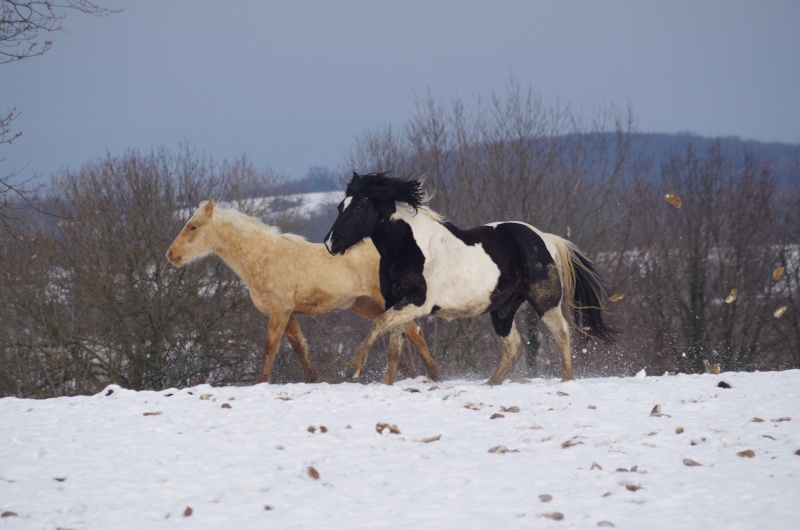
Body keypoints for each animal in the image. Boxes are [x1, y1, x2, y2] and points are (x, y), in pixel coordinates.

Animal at [166, 198, 440, 384]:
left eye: (193, 227)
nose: (171, 255)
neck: (262, 257)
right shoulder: (287, 313)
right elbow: (300, 349)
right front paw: (315, 380)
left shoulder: (279, 310)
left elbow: (270, 347)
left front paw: (261, 383)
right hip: (367, 306)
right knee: (405, 332)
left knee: (413, 333)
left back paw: (434, 375)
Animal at [324, 171, 612, 382]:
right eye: (340, 206)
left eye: (360, 206)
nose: (330, 242)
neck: (409, 247)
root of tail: (545, 238)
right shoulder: (396, 303)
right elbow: (393, 347)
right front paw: (386, 384)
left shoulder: (417, 303)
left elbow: (378, 325)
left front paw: (354, 366)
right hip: (503, 309)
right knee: (513, 344)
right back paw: (491, 384)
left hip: (545, 303)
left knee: (562, 333)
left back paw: (567, 379)